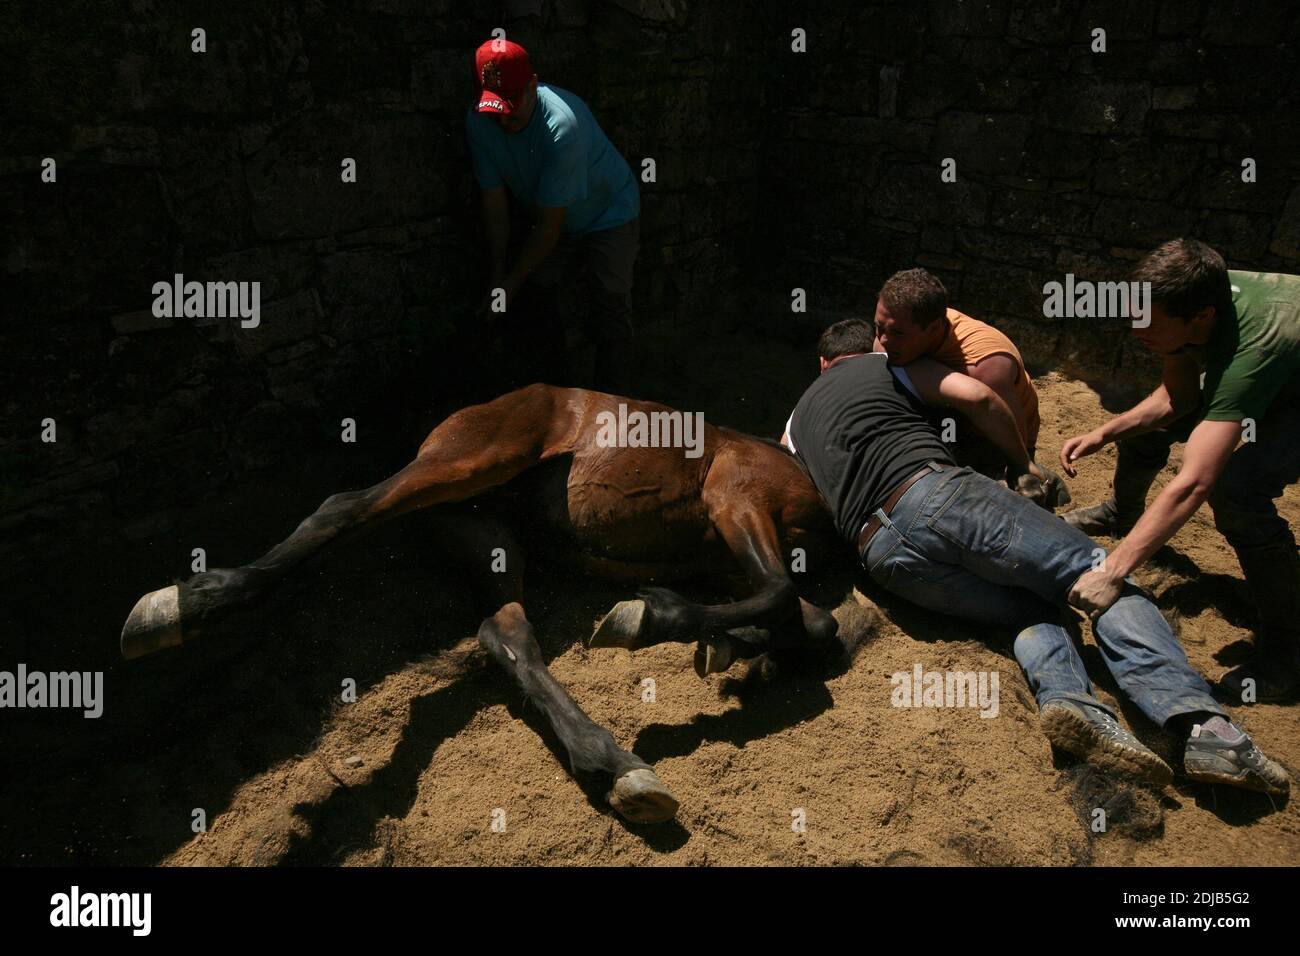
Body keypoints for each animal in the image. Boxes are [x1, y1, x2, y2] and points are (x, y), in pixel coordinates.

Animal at [120, 383, 872, 824]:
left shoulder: (723, 560)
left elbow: (812, 621)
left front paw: (729, 647)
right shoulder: (737, 496)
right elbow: (787, 598)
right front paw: (653, 619)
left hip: (492, 540)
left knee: (504, 636)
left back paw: (615, 766)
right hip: (471, 462)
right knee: (348, 506)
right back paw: (181, 607)